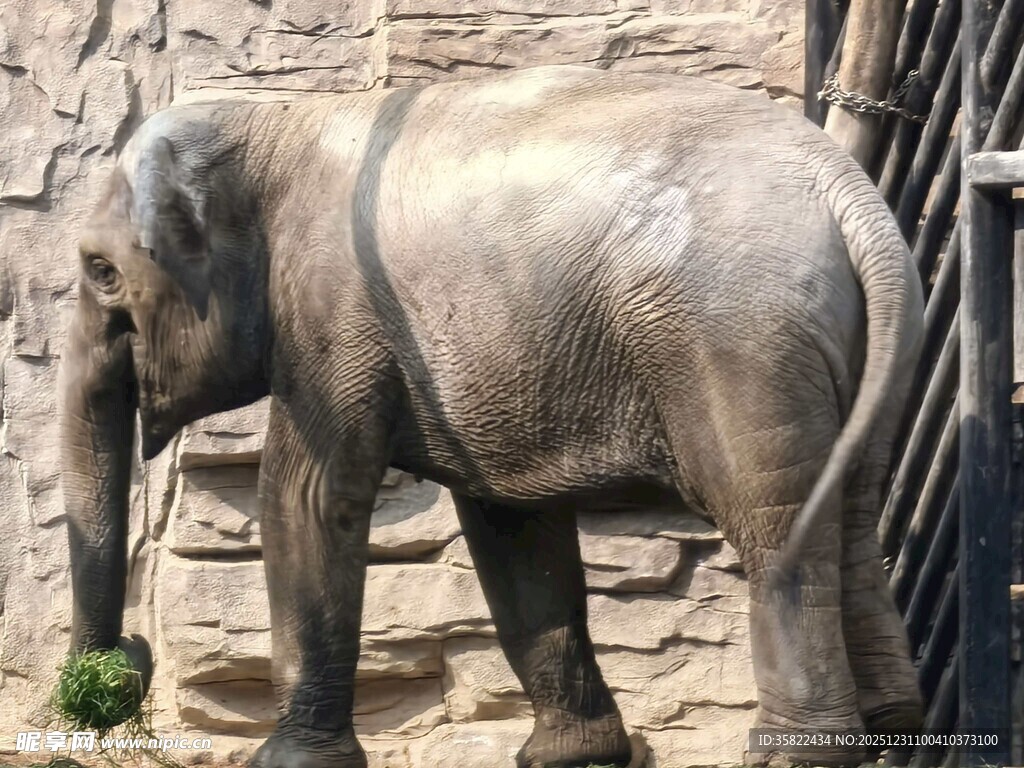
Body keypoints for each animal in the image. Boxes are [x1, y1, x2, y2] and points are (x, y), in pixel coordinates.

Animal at [60, 64, 926, 768]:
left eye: (100, 272)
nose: (118, 668)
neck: (275, 121)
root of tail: (850, 195)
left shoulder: (334, 304)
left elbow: (307, 497)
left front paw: (287, 762)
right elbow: (512, 526)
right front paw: (568, 757)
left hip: (740, 345)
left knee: (777, 527)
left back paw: (799, 755)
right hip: (857, 346)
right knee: (853, 512)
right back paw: (894, 727)